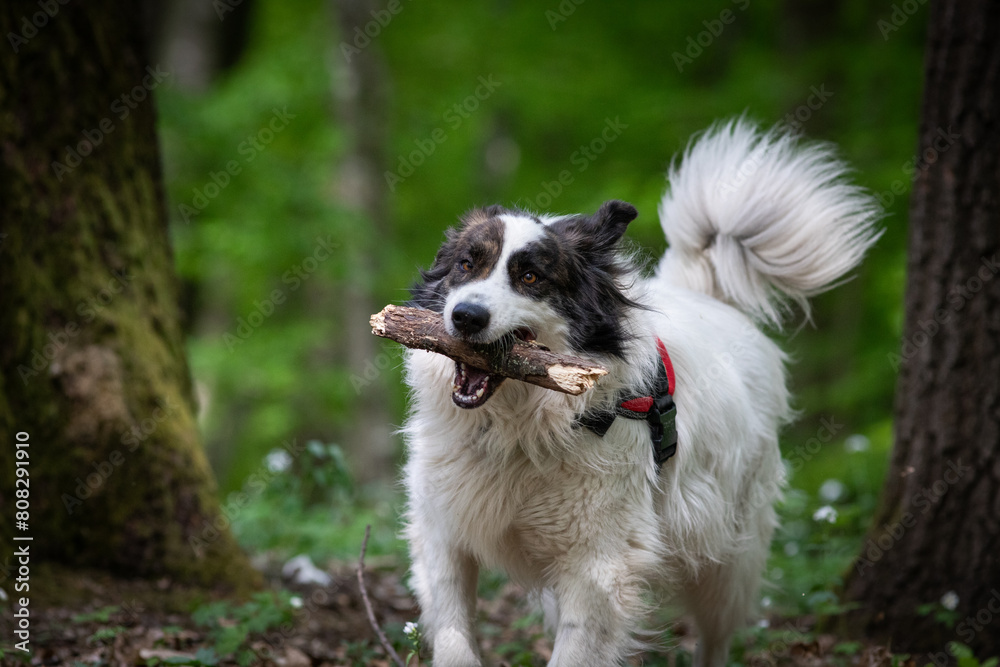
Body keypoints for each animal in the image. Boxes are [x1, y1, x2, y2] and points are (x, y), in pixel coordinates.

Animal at [402, 121, 880, 667]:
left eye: (530, 276)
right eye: (466, 264)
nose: (465, 317)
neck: (516, 427)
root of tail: (708, 295)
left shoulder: (599, 563)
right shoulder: (441, 532)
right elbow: (454, 634)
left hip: (728, 555)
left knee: (716, 635)